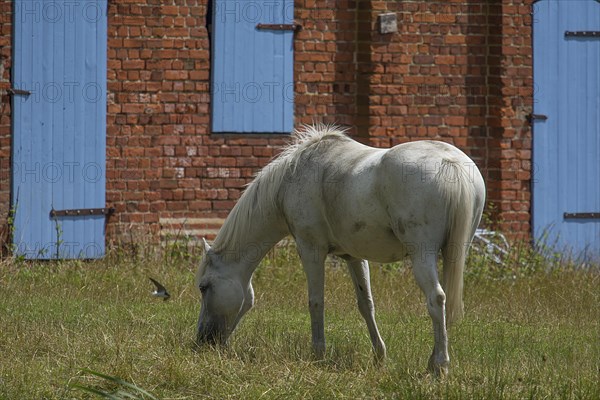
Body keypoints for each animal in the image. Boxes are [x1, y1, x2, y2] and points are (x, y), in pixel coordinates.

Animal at [195, 125, 486, 376]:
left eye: (204, 287)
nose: (202, 342)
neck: (291, 177)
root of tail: (450, 162)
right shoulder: (354, 256)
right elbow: (366, 304)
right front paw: (379, 356)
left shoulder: (310, 249)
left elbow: (316, 302)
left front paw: (318, 354)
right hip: (452, 255)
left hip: (422, 256)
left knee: (436, 299)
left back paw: (439, 366)